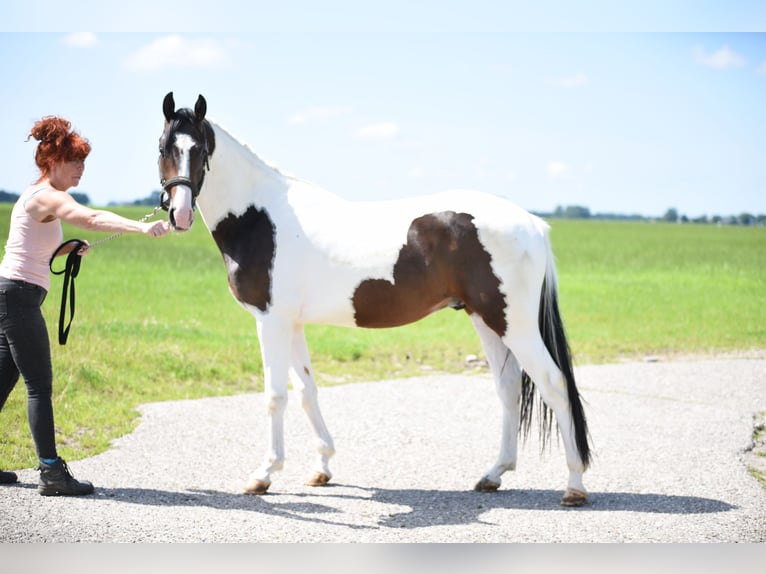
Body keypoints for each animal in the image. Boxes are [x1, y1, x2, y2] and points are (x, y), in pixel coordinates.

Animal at [158, 92, 592, 506]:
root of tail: (534, 224)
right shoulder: (292, 323)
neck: (261, 218)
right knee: (509, 388)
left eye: (200, 149)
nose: (179, 213)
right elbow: (307, 392)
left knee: (554, 384)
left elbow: (275, 396)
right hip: (485, 318)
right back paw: (493, 474)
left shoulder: (271, 321)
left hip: (513, 324)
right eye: (163, 146)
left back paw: (574, 486)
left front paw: (264, 474)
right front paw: (322, 468)